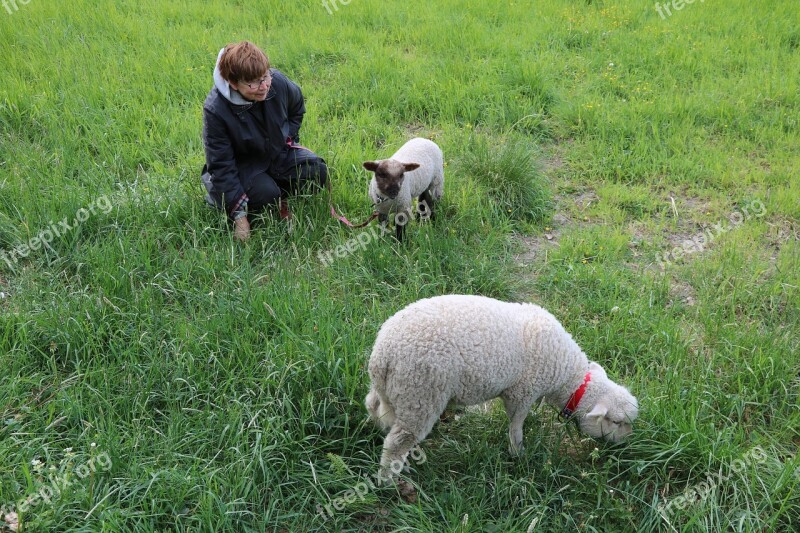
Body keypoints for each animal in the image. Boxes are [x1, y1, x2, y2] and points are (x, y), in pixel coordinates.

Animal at [364, 296, 636, 482]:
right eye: (616, 422)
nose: (626, 443)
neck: (566, 376)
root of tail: (382, 355)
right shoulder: (522, 392)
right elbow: (516, 423)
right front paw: (518, 452)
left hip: (396, 391)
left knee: (374, 406)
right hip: (421, 392)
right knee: (398, 440)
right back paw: (388, 479)